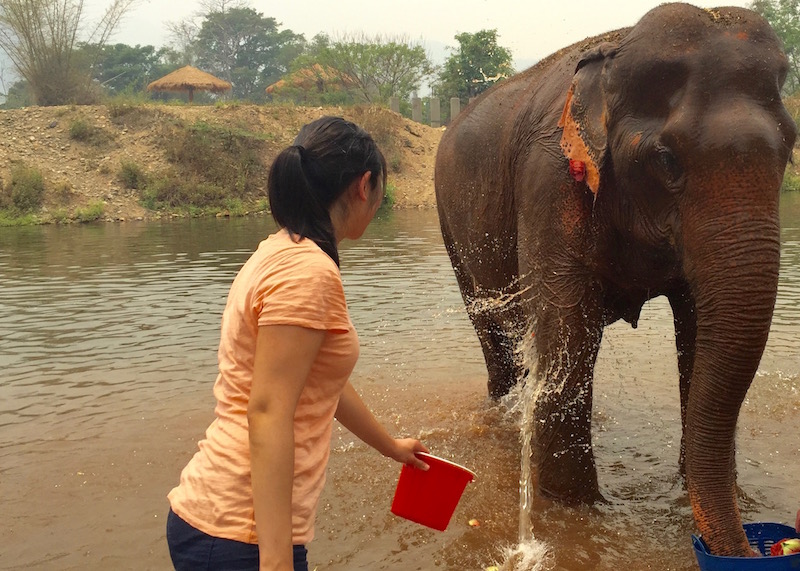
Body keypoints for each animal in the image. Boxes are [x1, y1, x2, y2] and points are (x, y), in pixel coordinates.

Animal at [434, 1, 796, 560]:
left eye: (791, 147)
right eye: (667, 159)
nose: (752, 552)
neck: (615, 56)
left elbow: (700, 338)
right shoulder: (550, 178)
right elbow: (567, 342)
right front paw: (573, 510)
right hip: (450, 225)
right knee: (495, 337)